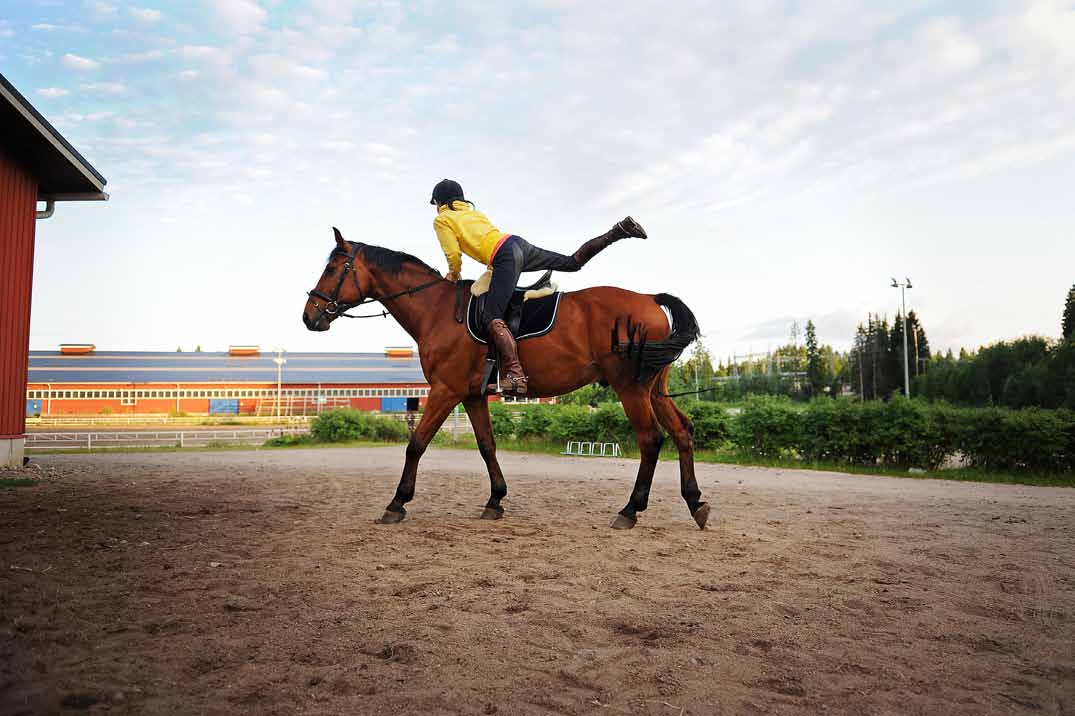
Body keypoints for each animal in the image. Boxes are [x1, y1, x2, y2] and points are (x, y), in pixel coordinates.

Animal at [301, 228, 713, 528]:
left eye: (333, 269)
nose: (309, 316)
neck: (436, 310)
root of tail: (649, 298)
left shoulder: (445, 391)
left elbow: (416, 444)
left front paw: (397, 502)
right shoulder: (472, 395)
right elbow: (487, 446)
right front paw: (495, 499)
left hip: (631, 388)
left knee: (650, 440)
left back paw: (630, 510)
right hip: (654, 388)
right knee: (682, 431)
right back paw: (695, 502)